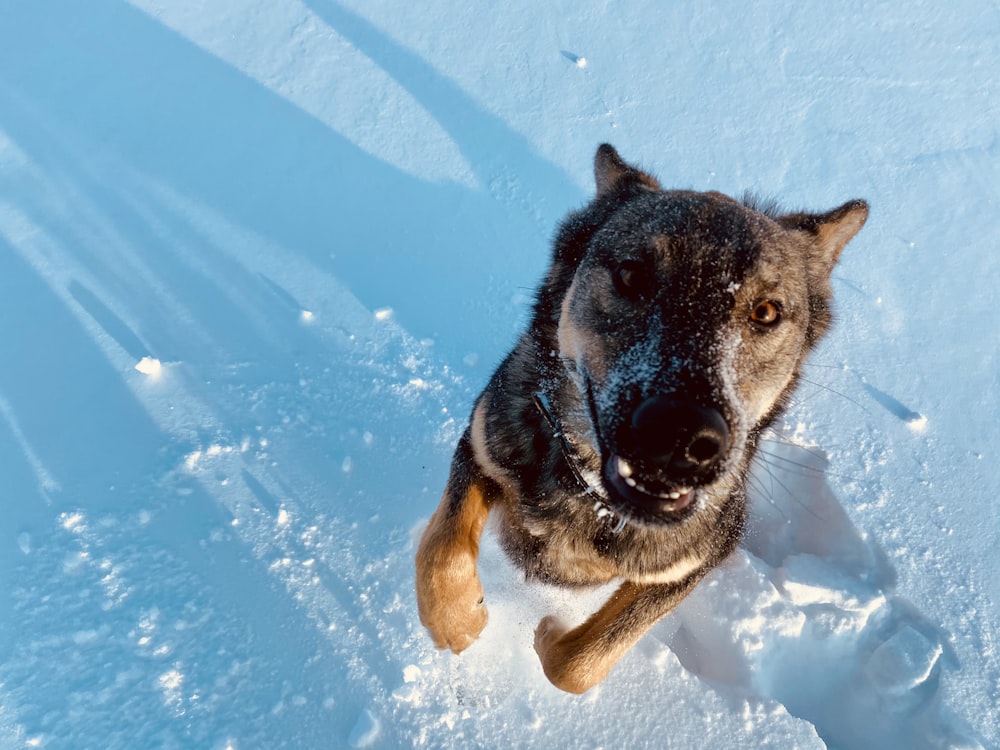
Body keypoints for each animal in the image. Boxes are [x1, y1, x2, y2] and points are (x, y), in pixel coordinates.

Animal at [414, 144, 868, 696]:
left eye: (765, 312)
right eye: (632, 276)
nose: (680, 433)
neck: (593, 499)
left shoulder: (700, 556)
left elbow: (580, 663)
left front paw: (551, 632)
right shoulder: (485, 439)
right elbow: (442, 552)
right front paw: (460, 623)